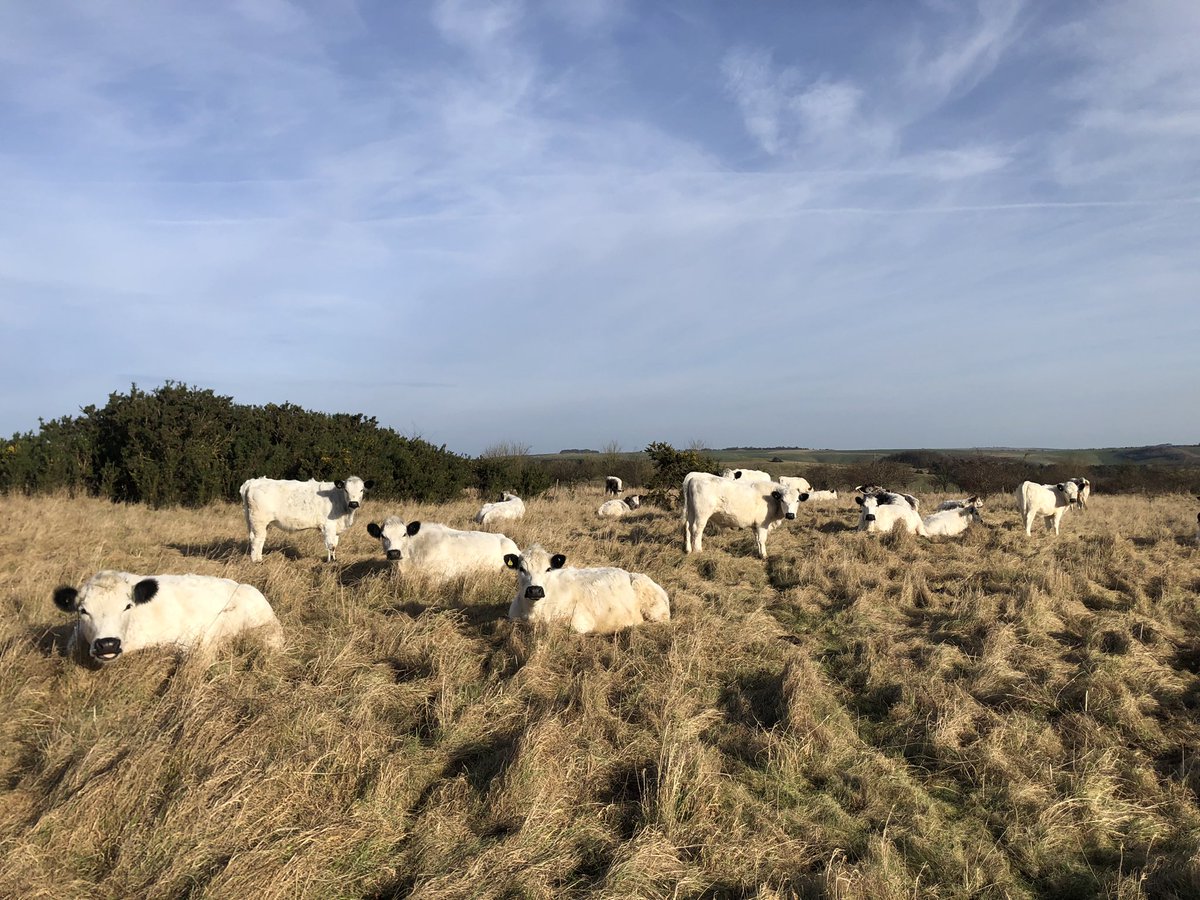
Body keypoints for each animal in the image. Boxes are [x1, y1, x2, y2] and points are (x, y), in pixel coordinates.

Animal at [504, 544, 670, 633]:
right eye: (521, 569)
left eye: (548, 569)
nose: (535, 590)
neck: (534, 612)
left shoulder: (580, 621)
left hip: (655, 611)